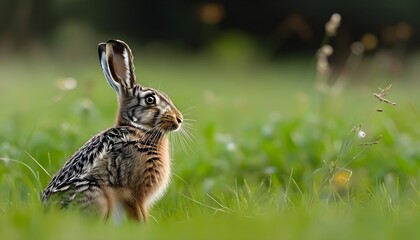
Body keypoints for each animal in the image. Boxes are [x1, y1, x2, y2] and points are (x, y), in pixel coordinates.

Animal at [41, 39, 184, 221]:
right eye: (150, 99)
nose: (179, 119)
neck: (137, 129)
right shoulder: (134, 195)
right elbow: (138, 212)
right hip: (97, 194)